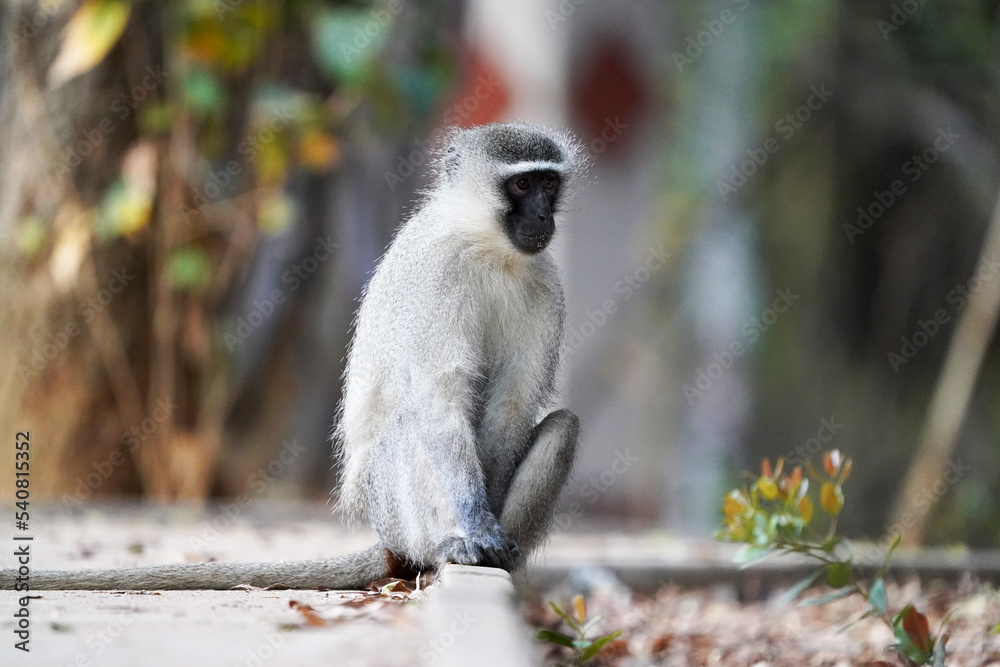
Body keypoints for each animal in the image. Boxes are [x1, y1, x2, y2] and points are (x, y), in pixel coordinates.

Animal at [0, 121, 586, 590]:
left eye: (549, 184)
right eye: (522, 184)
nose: (542, 214)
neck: (490, 249)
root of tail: (389, 539)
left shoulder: (546, 287)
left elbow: (511, 407)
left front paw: (492, 525)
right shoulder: (435, 275)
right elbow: (439, 402)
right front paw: (475, 524)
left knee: (562, 427)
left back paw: (501, 557)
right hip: (392, 513)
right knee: (411, 424)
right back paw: (447, 547)